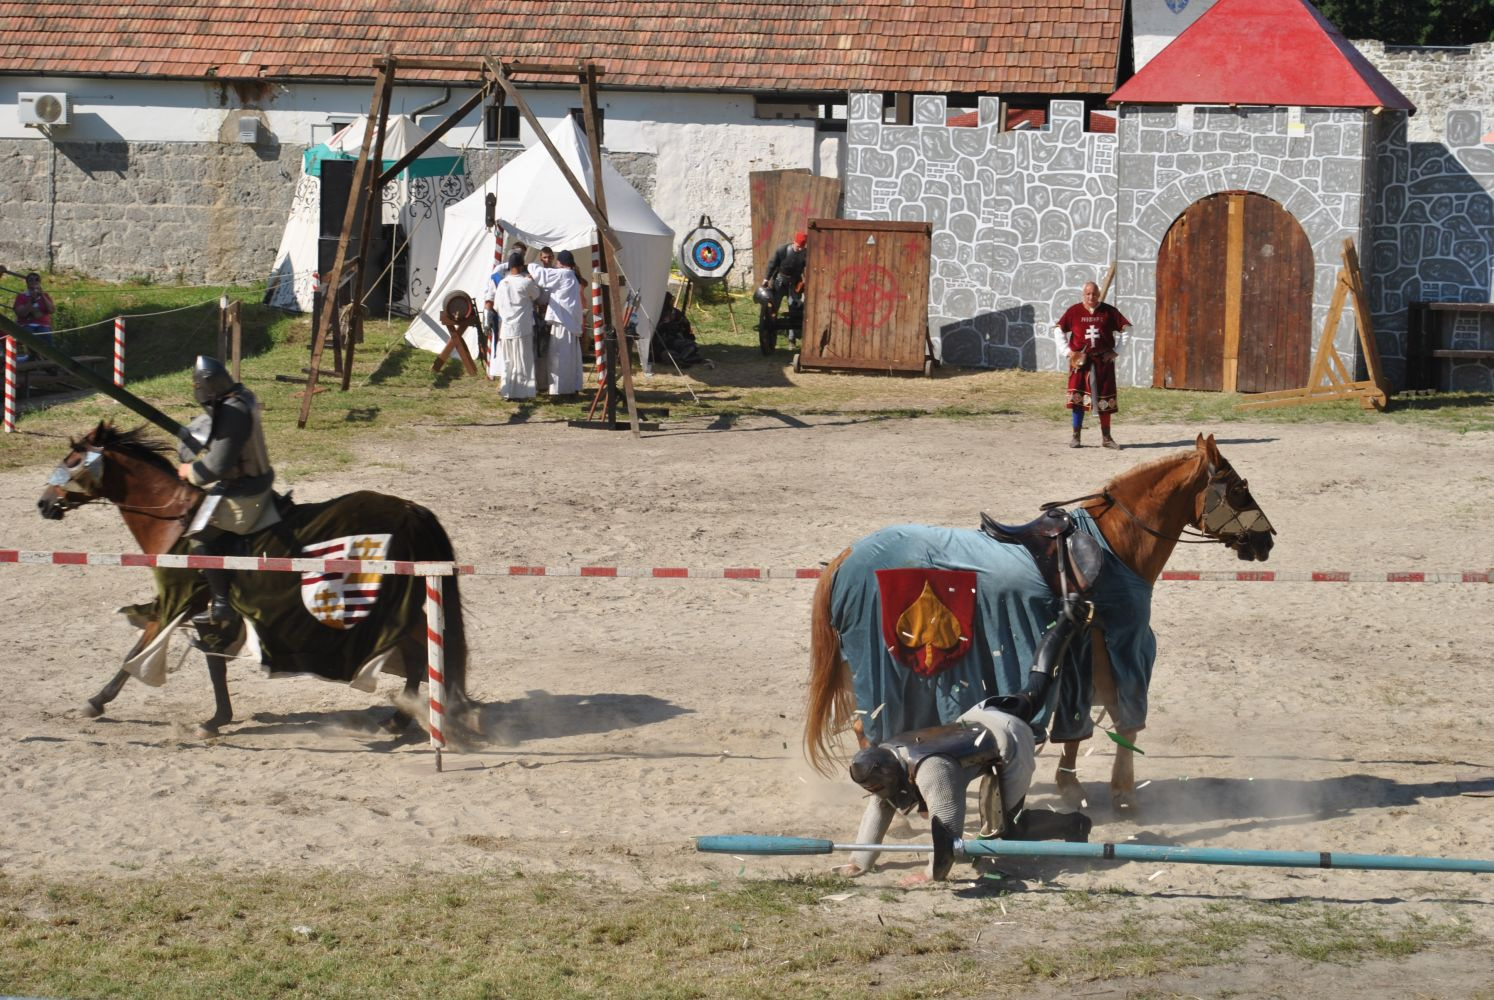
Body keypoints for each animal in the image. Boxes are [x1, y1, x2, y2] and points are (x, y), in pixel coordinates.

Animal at [806, 433, 1272, 807]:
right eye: (1239, 489)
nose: (1267, 540)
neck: (1117, 544)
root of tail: (846, 556)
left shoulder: (1084, 653)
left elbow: (1077, 721)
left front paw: (1071, 787)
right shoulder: (1122, 645)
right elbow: (1123, 718)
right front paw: (1122, 792)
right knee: (869, 726)